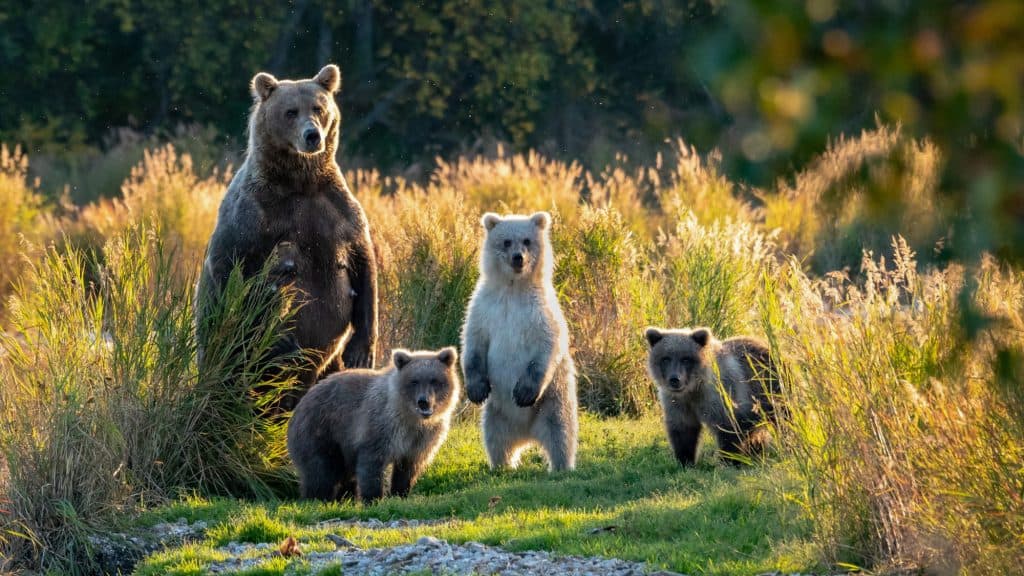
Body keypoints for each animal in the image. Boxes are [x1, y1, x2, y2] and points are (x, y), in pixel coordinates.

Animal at [196, 64, 378, 410]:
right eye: (290, 111)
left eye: (318, 108)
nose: (312, 135)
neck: (300, 182)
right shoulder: (253, 216)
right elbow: (235, 271)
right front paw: (283, 340)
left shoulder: (337, 211)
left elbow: (364, 266)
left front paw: (361, 350)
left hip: (327, 367)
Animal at [287, 347, 460, 502]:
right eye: (414, 381)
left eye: (435, 381)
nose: (423, 401)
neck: (411, 418)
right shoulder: (381, 426)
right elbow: (372, 463)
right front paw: (374, 498)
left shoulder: (422, 438)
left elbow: (408, 469)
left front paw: (400, 494)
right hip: (321, 431)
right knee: (321, 471)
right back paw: (317, 498)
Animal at [461, 211, 578, 472]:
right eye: (506, 241)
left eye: (526, 240)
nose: (518, 258)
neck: (513, 289)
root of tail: (527, 435)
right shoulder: (484, 307)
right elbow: (473, 343)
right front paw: (476, 389)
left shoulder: (540, 312)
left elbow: (547, 345)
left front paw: (523, 392)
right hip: (497, 413)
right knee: (495, 438)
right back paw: (502, 465)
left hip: (553, 400)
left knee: (561, 432)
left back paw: (561, 466)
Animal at [644, 326, 783, 466]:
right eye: (665, 358)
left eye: (686, 359)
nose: (674, 379)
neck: (693, 389)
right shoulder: (677, 402)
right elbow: (683, 430)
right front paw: (685, 460)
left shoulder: (720, 395)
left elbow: (728, 429)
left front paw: (729, 460)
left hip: (770, 389)